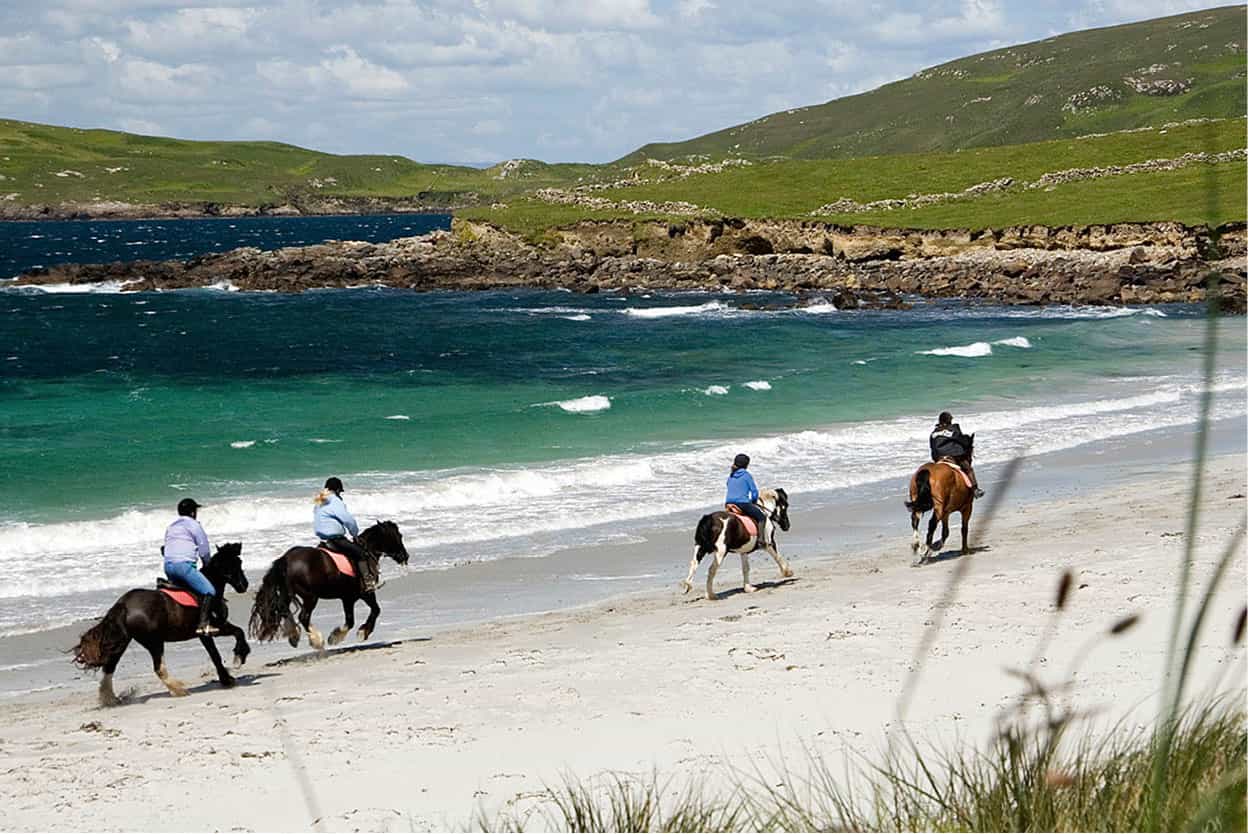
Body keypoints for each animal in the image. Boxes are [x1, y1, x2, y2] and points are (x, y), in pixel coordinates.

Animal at [71, 544, 252, 709]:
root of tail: (123, 603)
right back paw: (179, 690)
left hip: (122, 642)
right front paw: (238, 659)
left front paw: (226, 678)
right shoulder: (216, 627)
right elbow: (238, 633)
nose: (244, 585)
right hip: (154, 642)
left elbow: (215, 655)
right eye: (236, 563)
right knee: (158, 668)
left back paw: (111, 700)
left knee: (109, 667)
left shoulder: (203, 635)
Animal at [248, 521, 409, 649]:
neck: (367, 550)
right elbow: (375, 610)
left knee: (284, 611)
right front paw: (362, 633)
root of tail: (286, 559)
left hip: (287, 593)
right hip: (310, 596)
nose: (405, 556)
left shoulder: (347, 598)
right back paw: (316, 640)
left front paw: (338, 636)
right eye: (398, 536)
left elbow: (351, 620)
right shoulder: (364, 593)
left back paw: (294, 636)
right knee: (303, 617)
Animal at [908, 436, 973, 566]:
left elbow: (946, 531)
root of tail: (926, 472)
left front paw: (936, 545)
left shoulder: (946, 513)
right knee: (932, 523)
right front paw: (965, 550)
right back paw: (926, 551)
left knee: (915, 520)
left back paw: (917, 547)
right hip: (939, 507)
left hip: (918, 501)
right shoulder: (967, 508)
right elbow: (964, 529)